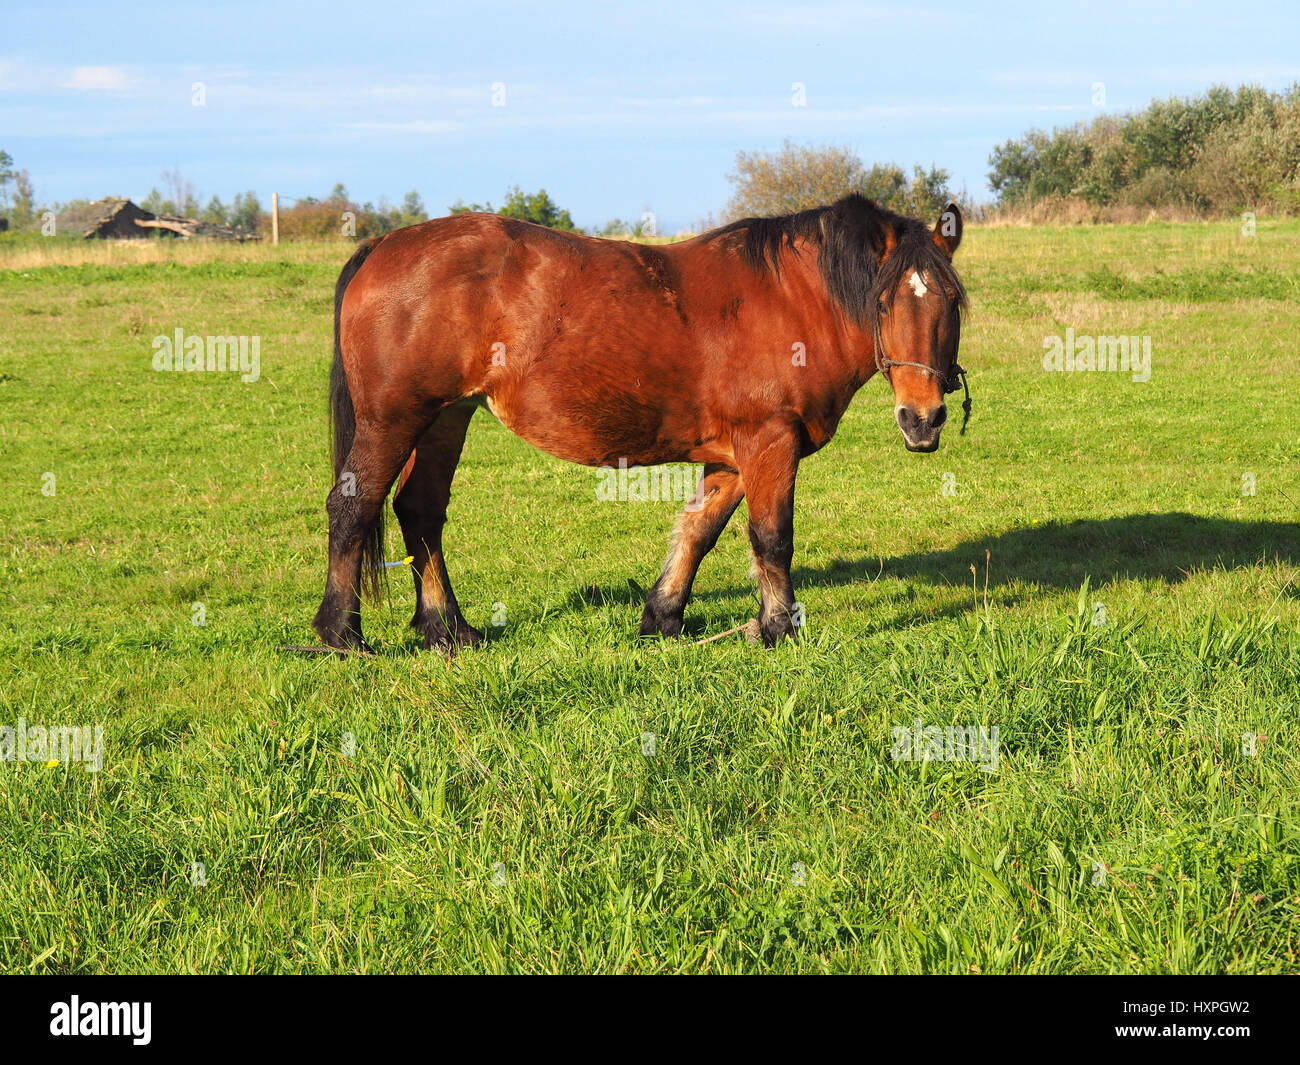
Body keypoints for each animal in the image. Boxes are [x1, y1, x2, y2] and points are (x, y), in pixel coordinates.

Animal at [311, 193, 968, 652]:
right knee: (353, 507)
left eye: (953, 302)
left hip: (446, 418)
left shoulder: (733, 456)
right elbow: (771, 538)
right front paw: (779, 628)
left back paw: (447, 629)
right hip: (393, 420)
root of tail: (382, 246)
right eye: (883, 302)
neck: (793, 300)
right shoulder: (768, 441)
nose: (923, 418)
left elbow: (698, 531)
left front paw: (663, 618)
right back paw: (341, 634)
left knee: (419, 512)